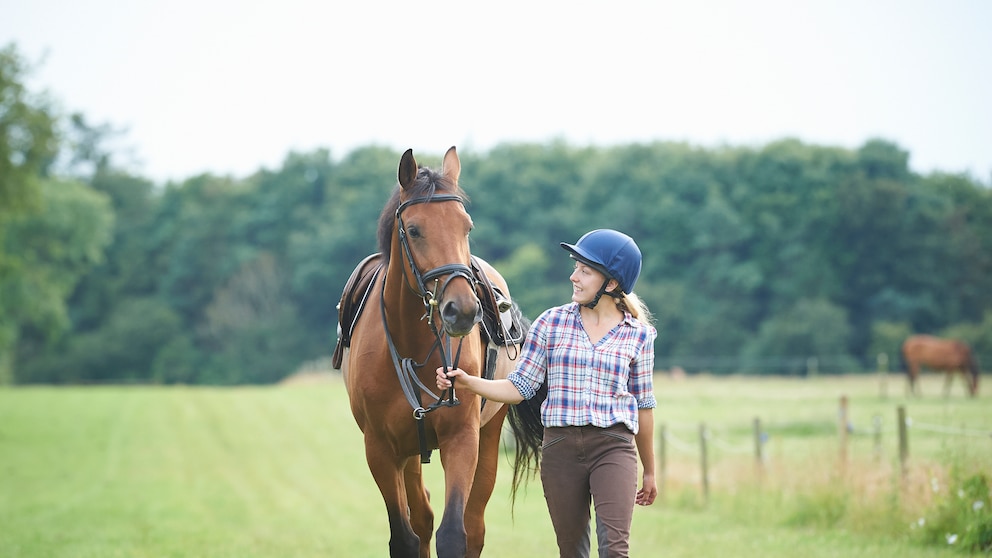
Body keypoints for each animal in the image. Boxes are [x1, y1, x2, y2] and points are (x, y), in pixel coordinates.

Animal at [338, 147, 540, 556]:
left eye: (467, 228)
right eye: (415, 230)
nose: (462, 309)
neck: (411, 345)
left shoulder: (461, 439)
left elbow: (454, 533)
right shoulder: (380, 450)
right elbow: (404, 536)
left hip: (488, 437)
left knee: (472, 526)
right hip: (408, 454)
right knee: (422, 516)